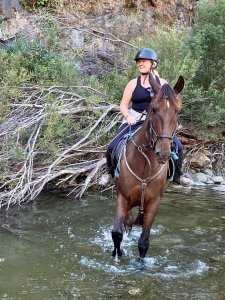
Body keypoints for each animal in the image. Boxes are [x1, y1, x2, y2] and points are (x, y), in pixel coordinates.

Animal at [110, 74, 183, 260]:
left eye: (177, 111)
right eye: (154, 109)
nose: (163, 153)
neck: (144, 165)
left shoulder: (154, 203)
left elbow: (144, 241)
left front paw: (140, 263)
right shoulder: (122, 197)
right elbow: (117, 233)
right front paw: (117, 255)